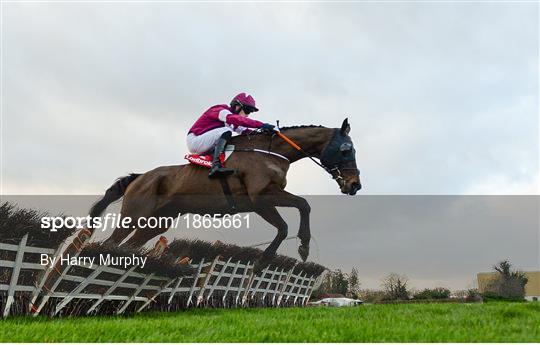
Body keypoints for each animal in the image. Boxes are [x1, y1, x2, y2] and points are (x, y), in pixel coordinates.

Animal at [88, 118, 360, 268]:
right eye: (346, 150)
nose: (355, 185)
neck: (270, 152)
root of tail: (139, 177)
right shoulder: (260, 198)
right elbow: (294, 215)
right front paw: (268, 260)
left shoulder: (263, 200)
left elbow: (299, 210)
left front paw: (300, 246)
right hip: (134, 215)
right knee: (111, 243)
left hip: (158, 222)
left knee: (128, 246)